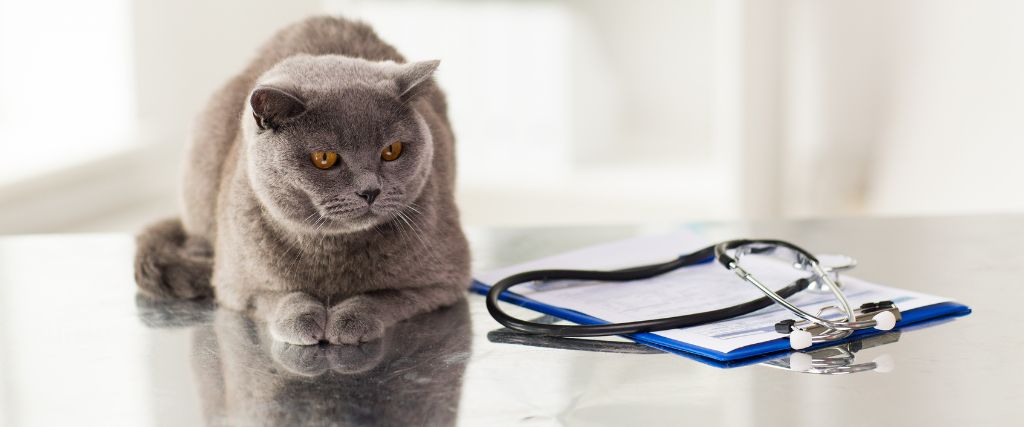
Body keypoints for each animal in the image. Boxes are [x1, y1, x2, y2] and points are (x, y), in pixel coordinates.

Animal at [133, 16, 471, 346]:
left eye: (392, 150)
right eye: (324, 158)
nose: (371, 190)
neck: (330, 253)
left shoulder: (445, 279)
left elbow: (387, 297)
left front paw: (351, 319)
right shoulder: (234, 284)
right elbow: (279, 296)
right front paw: (302, 317)